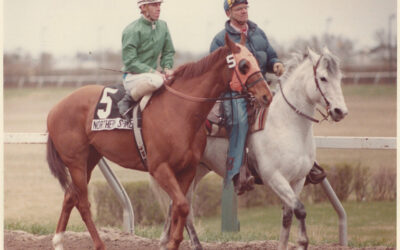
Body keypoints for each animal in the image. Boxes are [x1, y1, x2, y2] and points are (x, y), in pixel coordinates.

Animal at [46, 33, 272, 250]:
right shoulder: (159, 167)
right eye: (244, 65)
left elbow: (179, 207)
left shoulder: (188, 169)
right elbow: (182, 206)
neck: (179, 110)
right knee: (82, 203)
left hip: (91, 158)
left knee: (70, 195)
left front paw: (172, 242)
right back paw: (99, 244)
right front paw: (172, 242)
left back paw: (58, 242)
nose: (266, 96)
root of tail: (55, 109)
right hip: (75, 160)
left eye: (257, 61)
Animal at [153, 47, 346, 250]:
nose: (340, 111)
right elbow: (300, 209)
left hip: (197, 170)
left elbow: (287, 216)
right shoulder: (274, 178)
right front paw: (302, 242)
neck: (286, 124)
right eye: (323, 78)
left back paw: (168, 241)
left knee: (178, 204)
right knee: (183, 206)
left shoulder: (298, 180)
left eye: (340, 77)